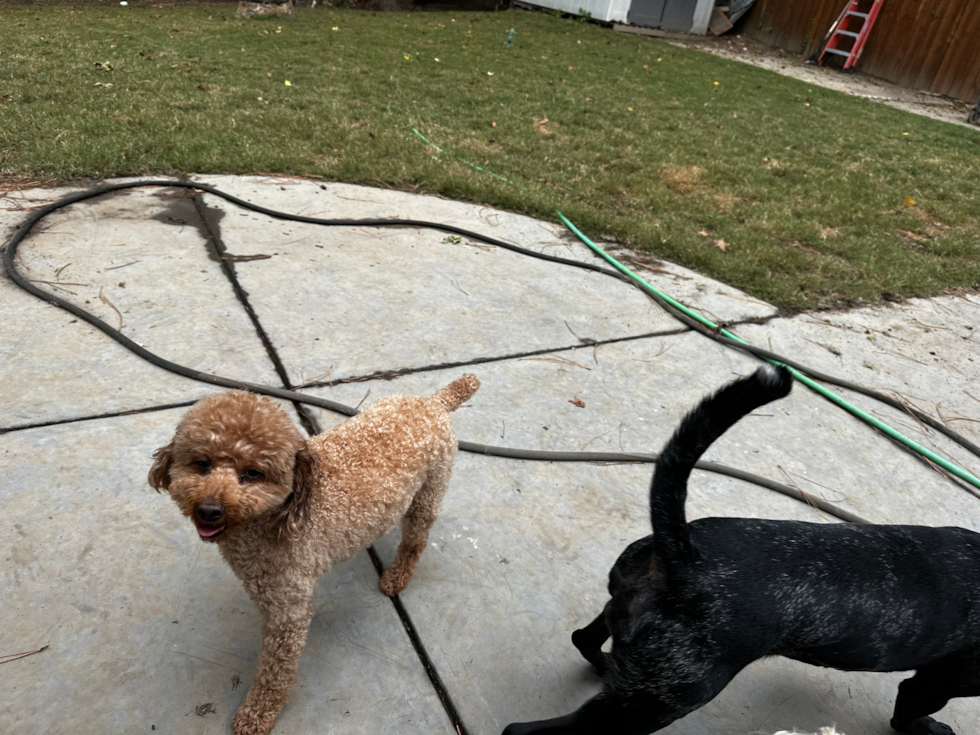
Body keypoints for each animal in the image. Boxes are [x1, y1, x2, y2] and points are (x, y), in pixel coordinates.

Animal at [147, 376, 480, 735]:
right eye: (202, 463)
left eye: (253, 473)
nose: (209, 510)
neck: (278, 516)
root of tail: (433, 401)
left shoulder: (288, 614)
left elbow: (275, 673)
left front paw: (257, 713)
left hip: (428, 494)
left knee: (415, 541)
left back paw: (396, 576)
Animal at [506, 366, 980, 735]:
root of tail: (685, 559)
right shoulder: (936, 683)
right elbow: (908, 711)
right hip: (658, 702)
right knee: (523, 730)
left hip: (629, 648)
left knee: (585, 639)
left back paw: (603, 664)